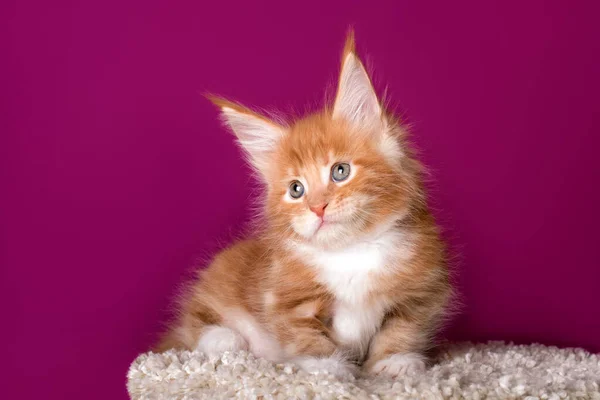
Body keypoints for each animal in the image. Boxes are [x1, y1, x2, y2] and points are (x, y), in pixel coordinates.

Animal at [155, 32, 450, 378]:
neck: (351, 252)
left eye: (340, 171)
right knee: (195, 328)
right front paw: (328, 368)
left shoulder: (421, 290)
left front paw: (394, 362)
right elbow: (305, 336)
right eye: (296, 189)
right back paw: (225, 340)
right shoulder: (283, 297)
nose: (318, 207)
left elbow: (403, 328)